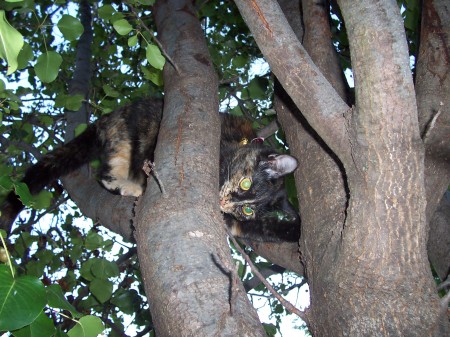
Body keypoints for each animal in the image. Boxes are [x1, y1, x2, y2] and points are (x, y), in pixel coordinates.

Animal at [1, 97, 300, 242]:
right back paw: (130, 187)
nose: (225, 203)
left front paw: (298, 232)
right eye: (245, 183)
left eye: (248, 210)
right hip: (128, 140)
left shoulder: (247, 225)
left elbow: (271, 230)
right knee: (105, 174)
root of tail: (106, 118)